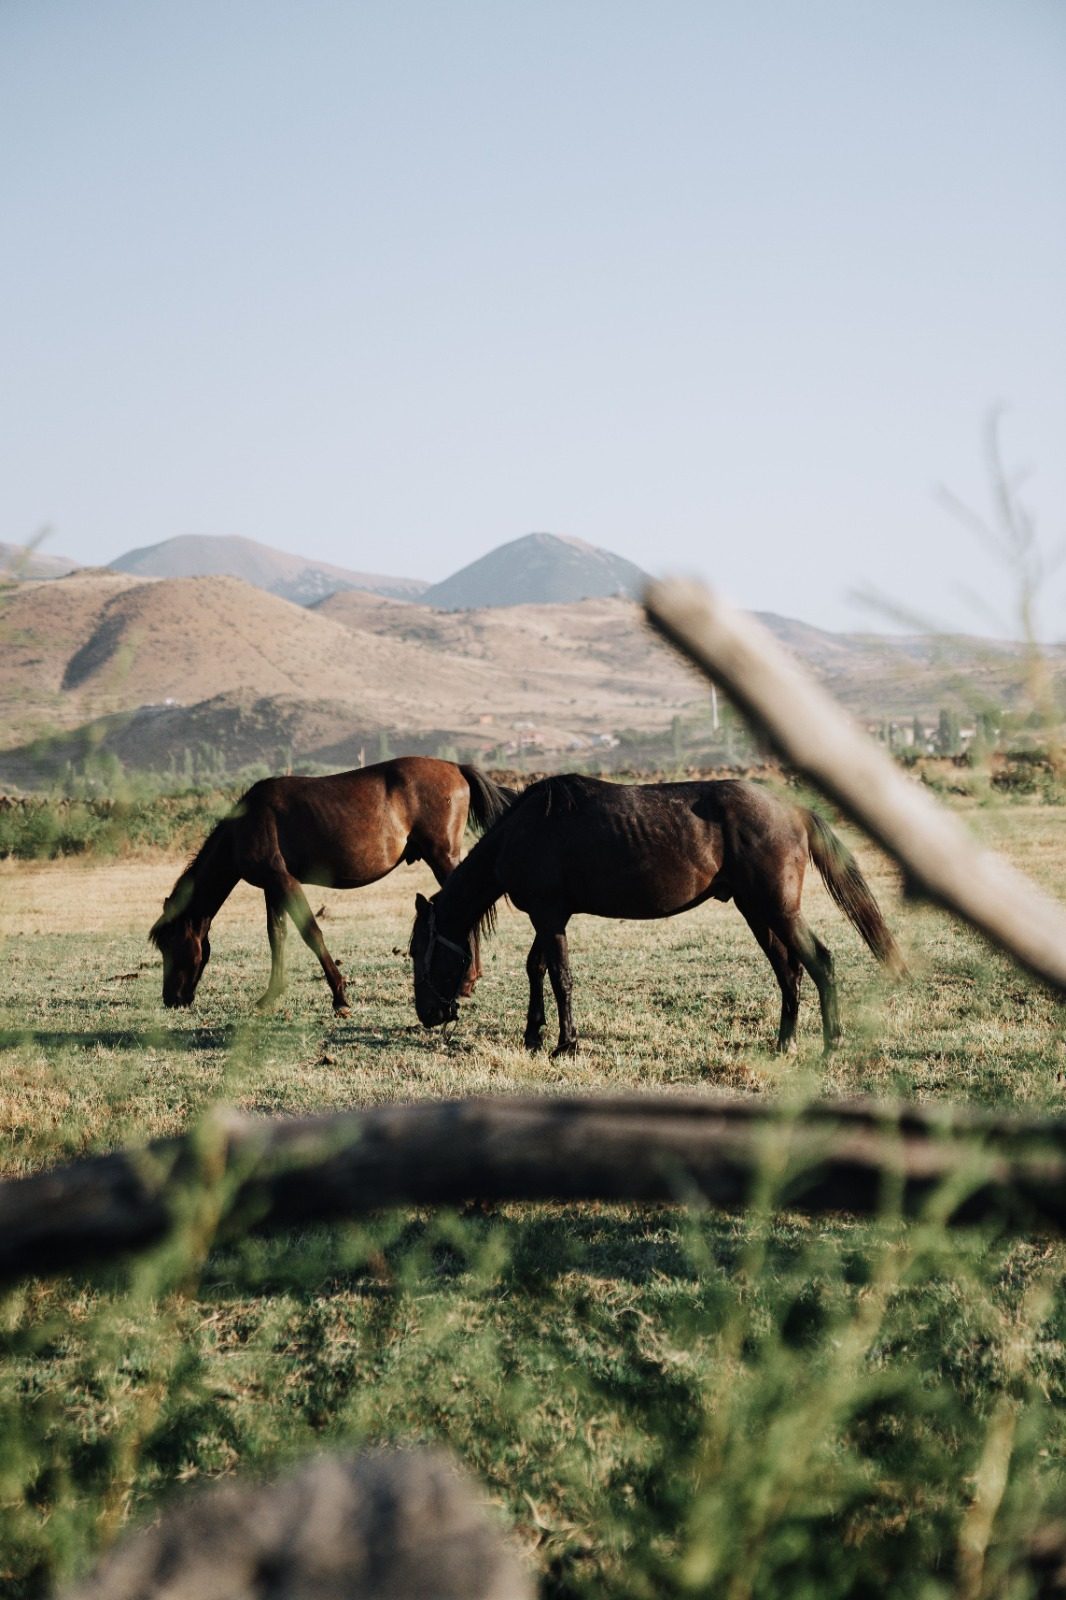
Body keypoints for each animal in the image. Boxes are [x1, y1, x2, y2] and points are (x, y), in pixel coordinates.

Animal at [151, 758, 515, 1015]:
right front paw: (271, 995)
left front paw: (340, 995)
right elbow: (276, 935)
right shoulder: (272, 886)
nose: (172, 999)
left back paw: (467, 981)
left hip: (442, 857)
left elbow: (310, 931)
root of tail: (457, 768)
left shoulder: (284, 881)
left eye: (171, 944)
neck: (246, 823)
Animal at [410, 773, 905, 1055]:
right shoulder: (548, 917)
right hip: (756, 910)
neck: (525, 829)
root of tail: (793, 810)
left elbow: (560, 977)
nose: (428, 1014)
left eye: (418, 952)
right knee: (789, 971)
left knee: (819, 961)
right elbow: (538, 969)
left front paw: (565, 1044)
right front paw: (533, 1036)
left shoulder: (550, 917)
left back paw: (831, 1046)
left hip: (778, 908)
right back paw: (785, 1044)